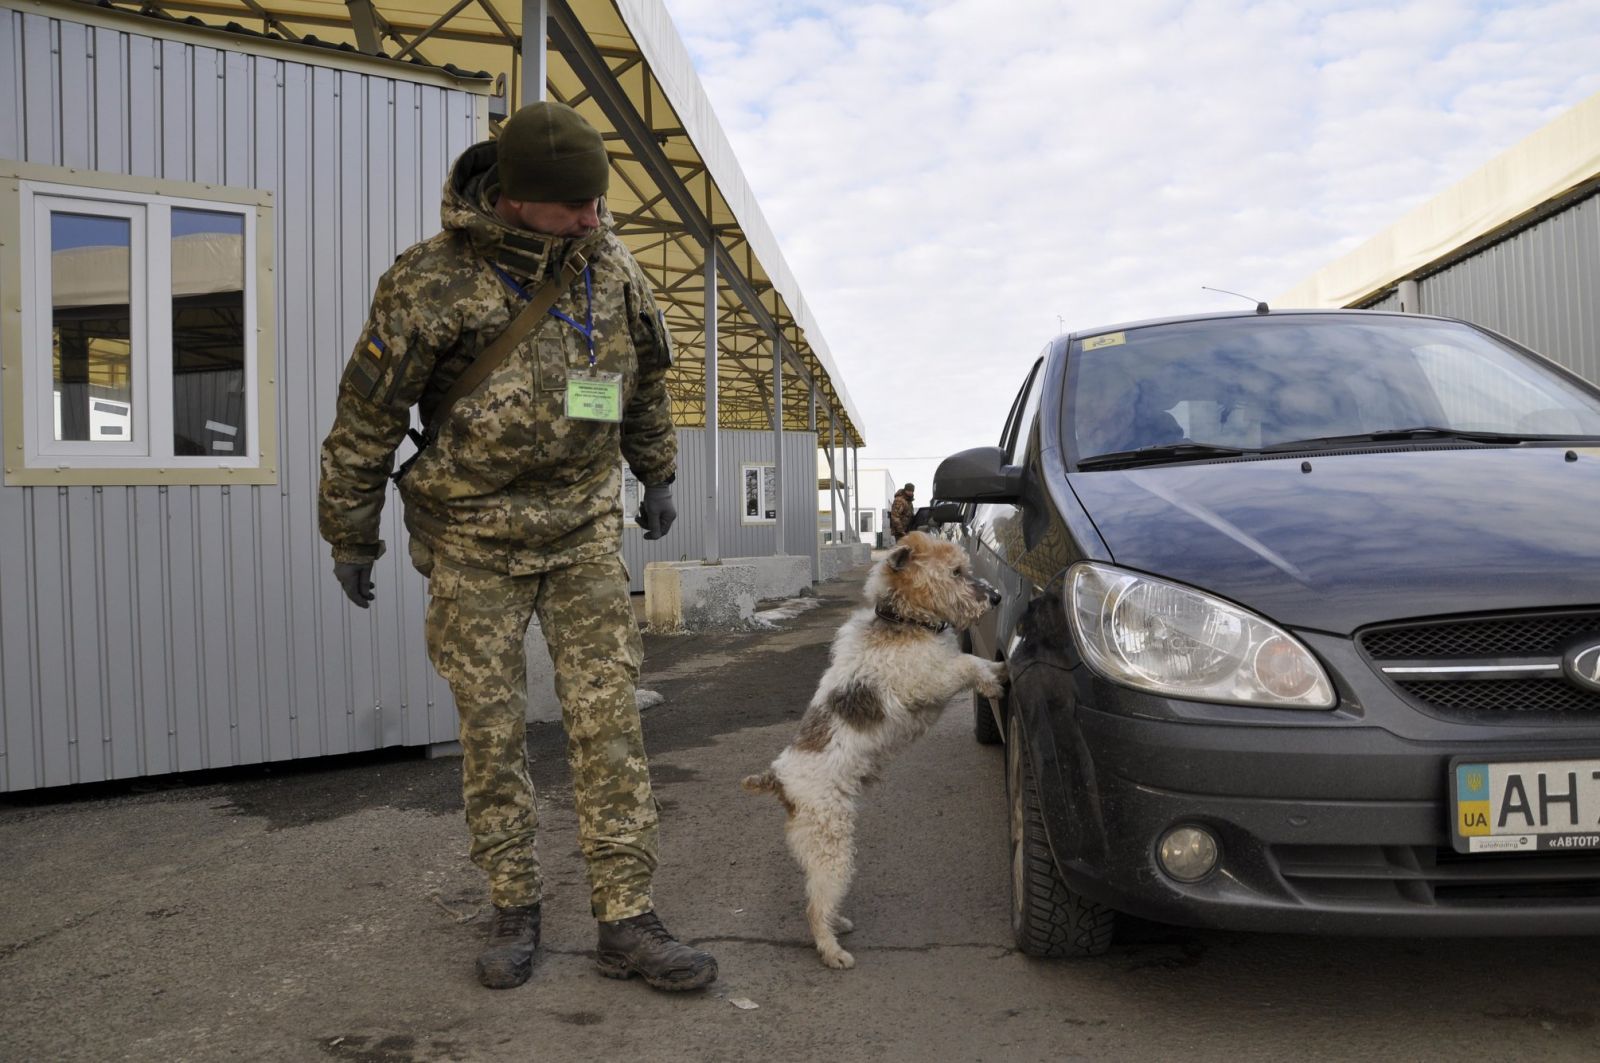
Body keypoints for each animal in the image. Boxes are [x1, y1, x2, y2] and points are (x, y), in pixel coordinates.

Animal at [742, 531, 1004, 973]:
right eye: (955, 572)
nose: (997, 597)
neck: (904, 621)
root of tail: (778, 779)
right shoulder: (929, 681)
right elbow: (968, 663)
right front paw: (993, 681)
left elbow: (971, 660)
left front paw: (999, 672)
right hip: (832, 842)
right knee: (815, 906)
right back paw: (833, 952)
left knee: (819, 899)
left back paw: (838, 924)